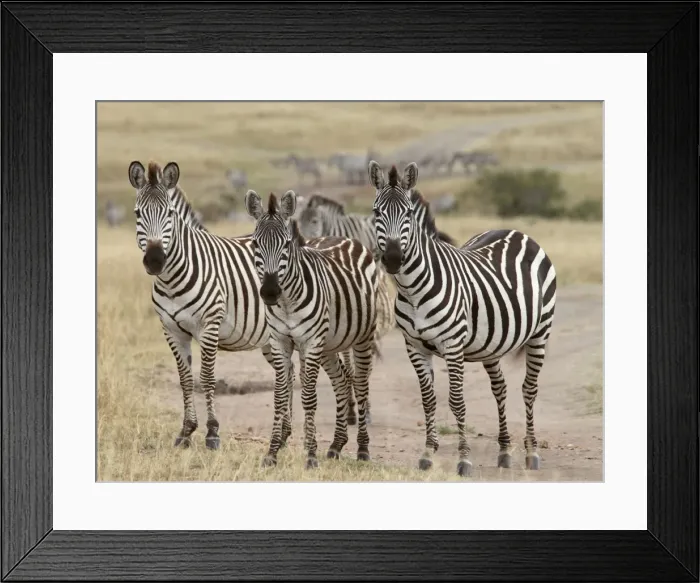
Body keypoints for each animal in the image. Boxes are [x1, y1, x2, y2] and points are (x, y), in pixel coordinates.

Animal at [128, 160, 298, 451]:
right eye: (138, 214)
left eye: (169, 214)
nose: (155, 260)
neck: (172, 278)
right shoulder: (171, 330)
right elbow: (186, 379)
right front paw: (186, 432)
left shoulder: (209, 326)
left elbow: (207, 378)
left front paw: (212, 432)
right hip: (271, 339)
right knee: (286, 372)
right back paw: (285, 434)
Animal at [244, 189, 378, 468]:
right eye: (255, 245)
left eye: (286, 244)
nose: (269, 292)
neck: (286, 302)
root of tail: (342, 237)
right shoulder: (280, 341)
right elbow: (280, 395)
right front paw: (272, 453)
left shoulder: (311, 342)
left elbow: (308, 396)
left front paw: (311, 456)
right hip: (329, 344)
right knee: (342, 381)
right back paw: (337, 445)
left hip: (362, 337)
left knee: (360, 384)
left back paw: (362, 449)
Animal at [368, 160, 557, 477]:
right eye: (376, 213)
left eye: (408, 214)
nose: (393, 258)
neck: (413, 288)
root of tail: (516, 231)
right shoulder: (414, 346)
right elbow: (428, 401)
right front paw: (427, 455)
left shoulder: (452, 344)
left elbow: (456, 402)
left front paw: (464, 459)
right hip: (492, 343)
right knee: (500, 388)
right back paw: (504, 451)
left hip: (540, 331)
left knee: (529, 389)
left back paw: (531, 452)